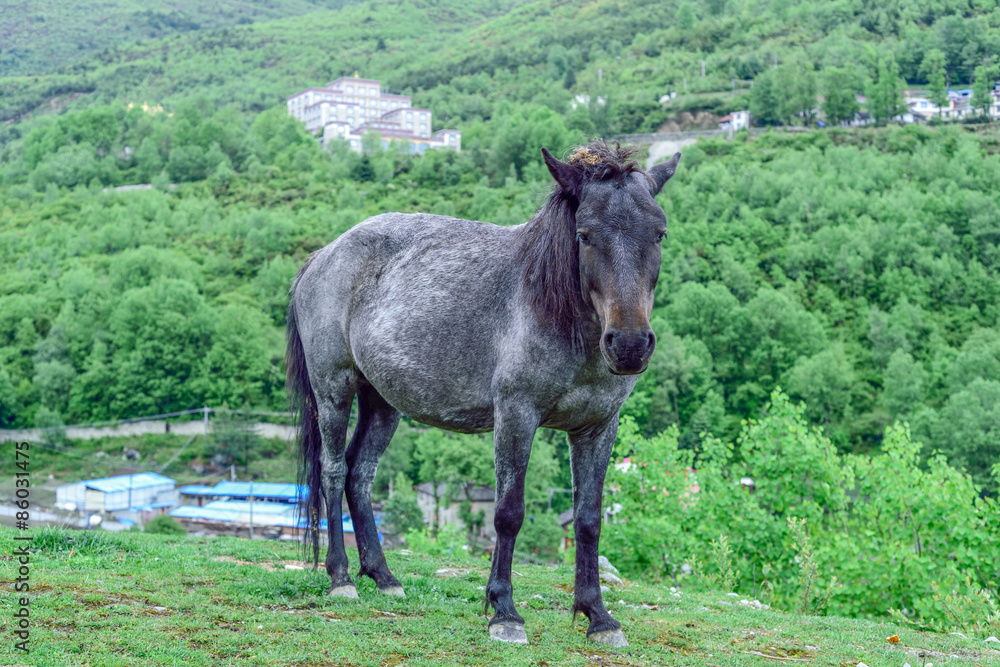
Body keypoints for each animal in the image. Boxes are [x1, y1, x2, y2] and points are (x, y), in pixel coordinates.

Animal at [286, 140, 681, 648]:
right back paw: (340, 578)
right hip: (334, 391)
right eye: (585, 234)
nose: (629, 345)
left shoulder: (596, 427)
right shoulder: (516, 415)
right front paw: (505, 612)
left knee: (360, 475)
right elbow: (508, 512)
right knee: (334, 473)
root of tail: (322, 256)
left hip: (383, 404)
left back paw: (384, 576)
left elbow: (589, 519)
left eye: (659, 233)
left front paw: (597, 616)